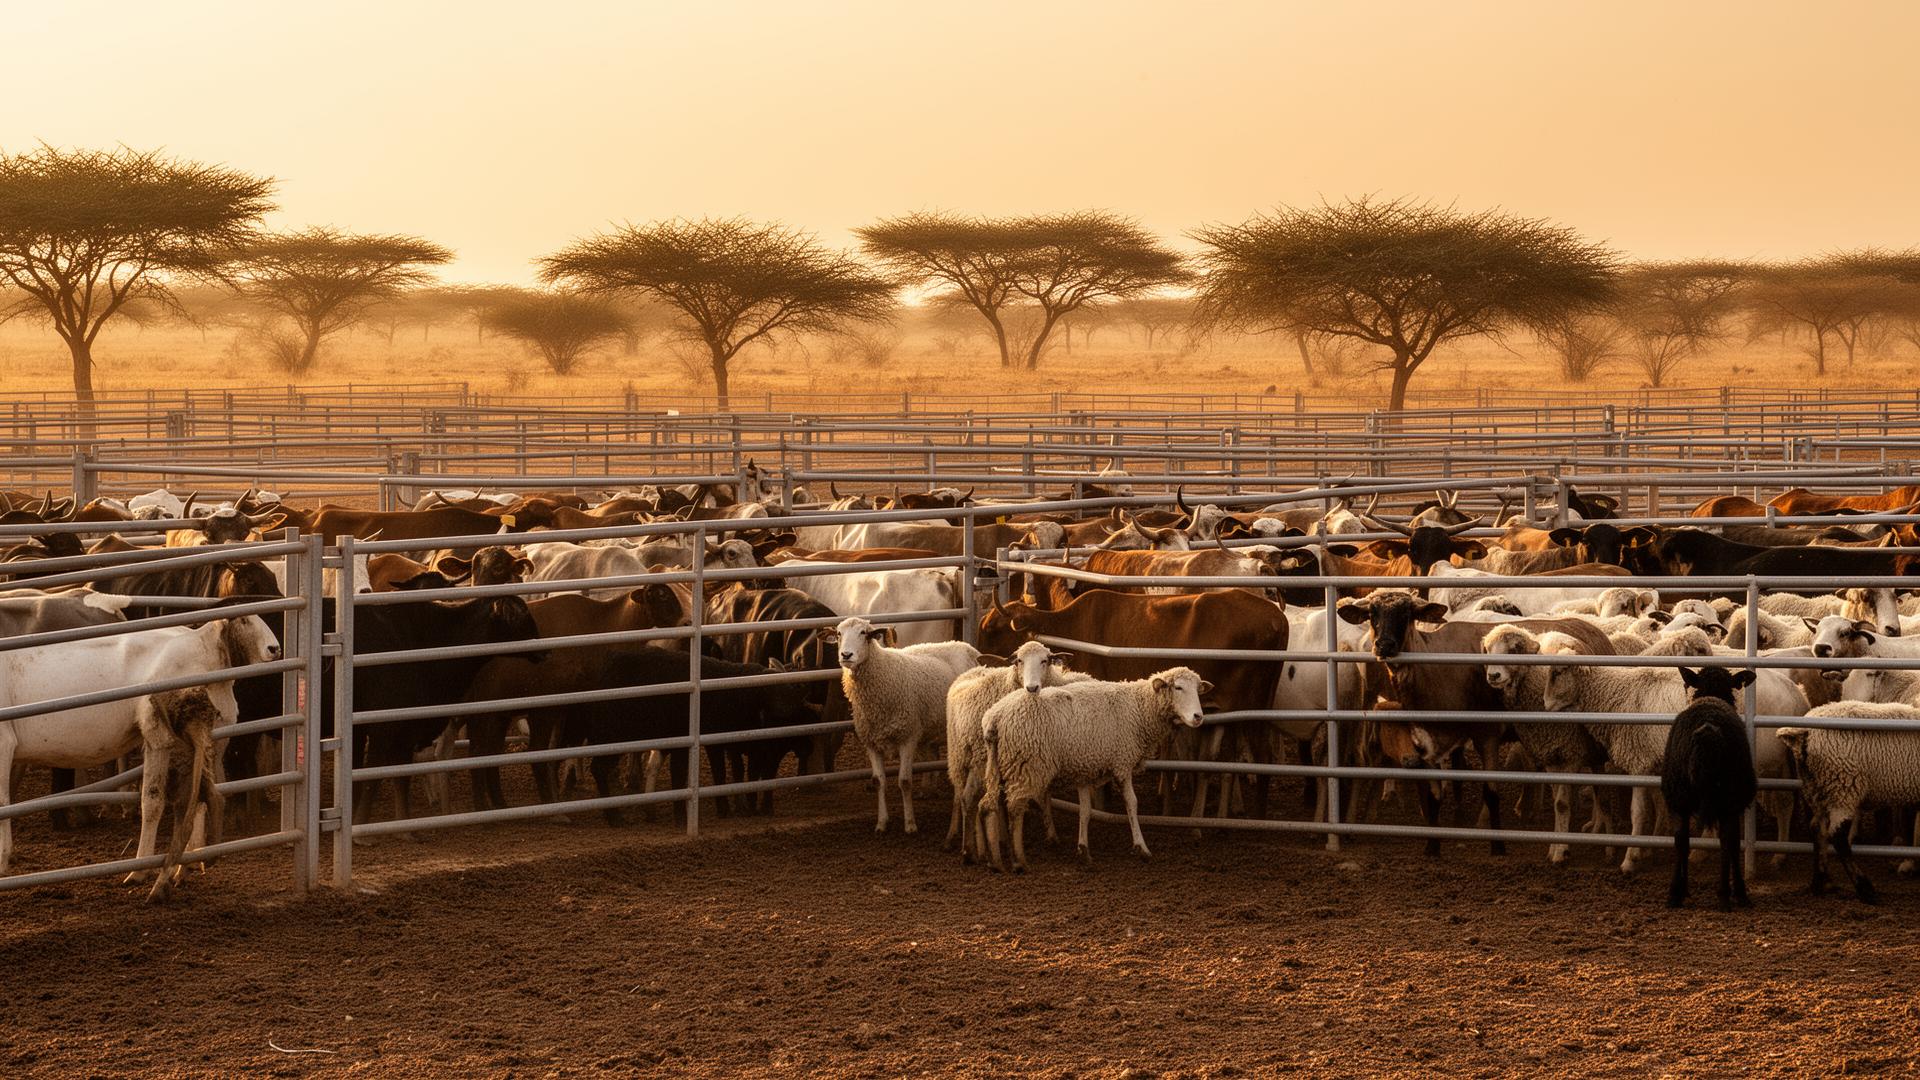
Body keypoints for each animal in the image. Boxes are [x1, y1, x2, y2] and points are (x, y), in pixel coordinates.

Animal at [826, 615, 980, 834]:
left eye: (864, 633)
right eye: (839, 634)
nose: (846, 655)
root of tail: (966, 646)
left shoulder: (907, 737)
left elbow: (905, 781)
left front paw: (910, 824)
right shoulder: (871, 742)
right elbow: (878, 781)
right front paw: (882, 823)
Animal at [943, 641, 1090, 861]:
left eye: (1045, 660)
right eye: (1018, 661)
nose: (1032, 688)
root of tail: (977, 669)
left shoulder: (1039, 750)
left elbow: (1044, 796)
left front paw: (1050, 835)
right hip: (965, 757)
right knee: (961, 796)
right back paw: (960, 839)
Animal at [980, 667, 1210, 873]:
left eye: (1198, 690)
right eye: (1178, 687)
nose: (1198, 717)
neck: (1139, 708)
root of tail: (995, 717)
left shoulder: (1084, 768)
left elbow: (1085, 810)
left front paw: (1083, 850)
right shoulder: (1122, 763)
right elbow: (1132, 803)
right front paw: (1142, 848)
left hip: (999, 765)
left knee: (988, 805)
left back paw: (994, 861)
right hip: (1028, 766)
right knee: (1015, 809)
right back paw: (1019, 861)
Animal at [1661, 667, 1759, 910]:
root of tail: (1707, 733)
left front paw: (1682, 890)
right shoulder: (1735, 804)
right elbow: (1732, 843)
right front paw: (1739, 893)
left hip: (1679, 796)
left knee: (1681, 840)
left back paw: (1675, 894)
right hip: (1729, 796)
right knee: (1726, 842)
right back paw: (1725, 895)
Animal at [1778, 702, 1920, 902]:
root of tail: (1805, 733)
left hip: (1817, 789)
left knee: (1817, 829)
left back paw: (1821, 883)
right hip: (1843, 788)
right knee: (1838, 837)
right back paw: (1865, 889)